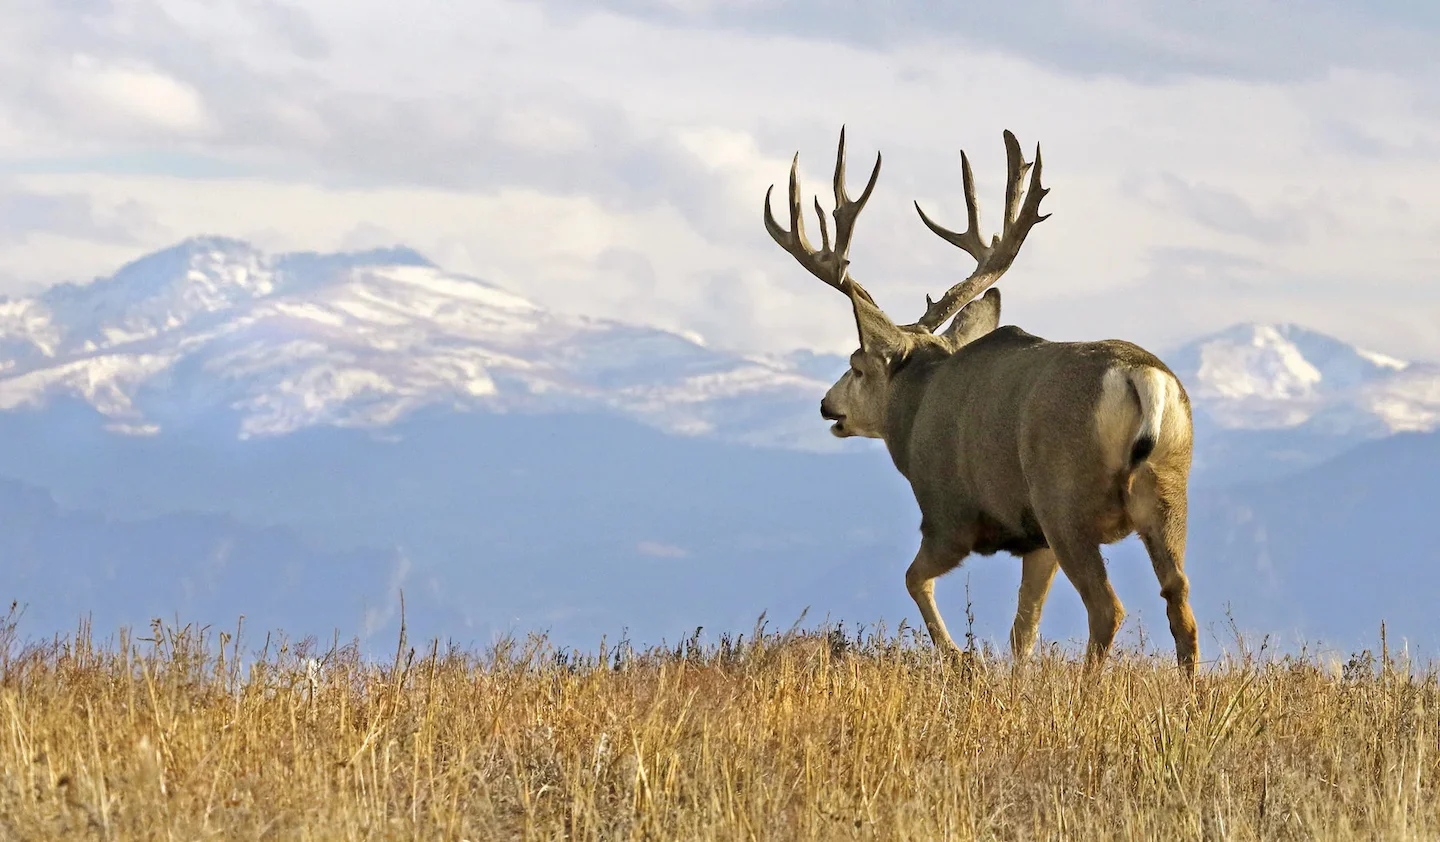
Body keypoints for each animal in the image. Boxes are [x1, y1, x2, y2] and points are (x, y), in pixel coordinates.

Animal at [762, 127, 1199, 676]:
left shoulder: (949, 514)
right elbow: (1022, 629)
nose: (827, 405)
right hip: (1166, 489)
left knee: (1108, 608)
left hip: (1063, 497)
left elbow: (914, 579)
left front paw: (959, 658)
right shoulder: (1035, 540)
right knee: (1179, 599)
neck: (916, 408)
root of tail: (1139, 376)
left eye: (856, 364)